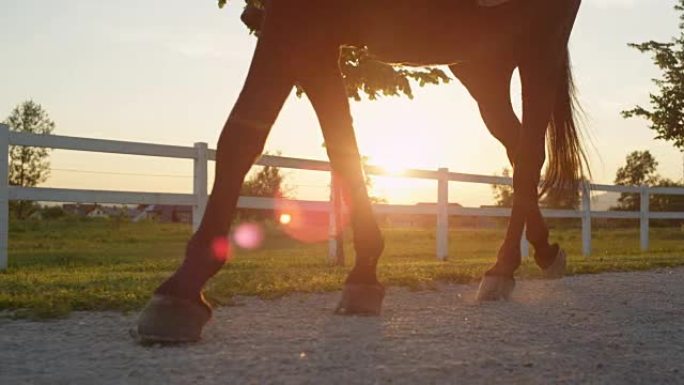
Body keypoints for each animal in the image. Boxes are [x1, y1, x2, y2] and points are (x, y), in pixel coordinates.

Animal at [135, 0, 588, 342]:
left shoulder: (295, 23)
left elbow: (244, 132)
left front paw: (182, 288)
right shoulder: (313, 38)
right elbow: (340, 146)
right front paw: (365, 269)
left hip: (539, 43)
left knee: (529, 153)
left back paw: (502, 268)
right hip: (481, 60)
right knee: (516, 146)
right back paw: (543, 252)